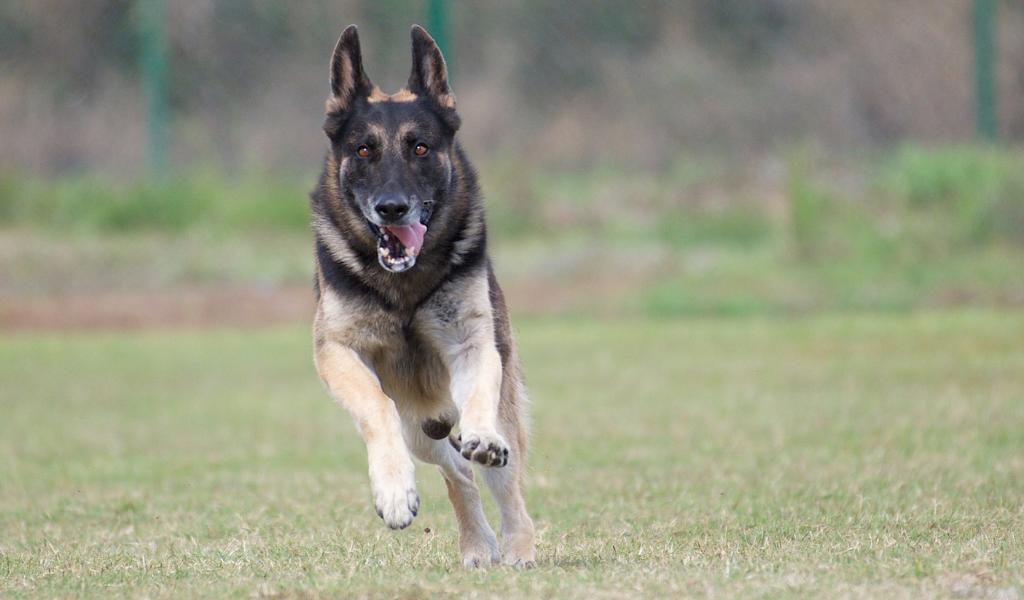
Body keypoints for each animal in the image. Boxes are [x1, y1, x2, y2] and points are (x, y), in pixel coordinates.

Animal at [307, 23, 536, 565]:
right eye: (363, 150)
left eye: (421, 148)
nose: (392, 208)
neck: (402, 286)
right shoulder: (338, 352)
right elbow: (376, 406)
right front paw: (394, 492)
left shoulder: (473, 345)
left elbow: (479, 402)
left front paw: (481, 436)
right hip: (420, 433)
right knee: (457, 473)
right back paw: (476, 544)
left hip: (499, 413)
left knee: (503, 480)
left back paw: (517, 545)